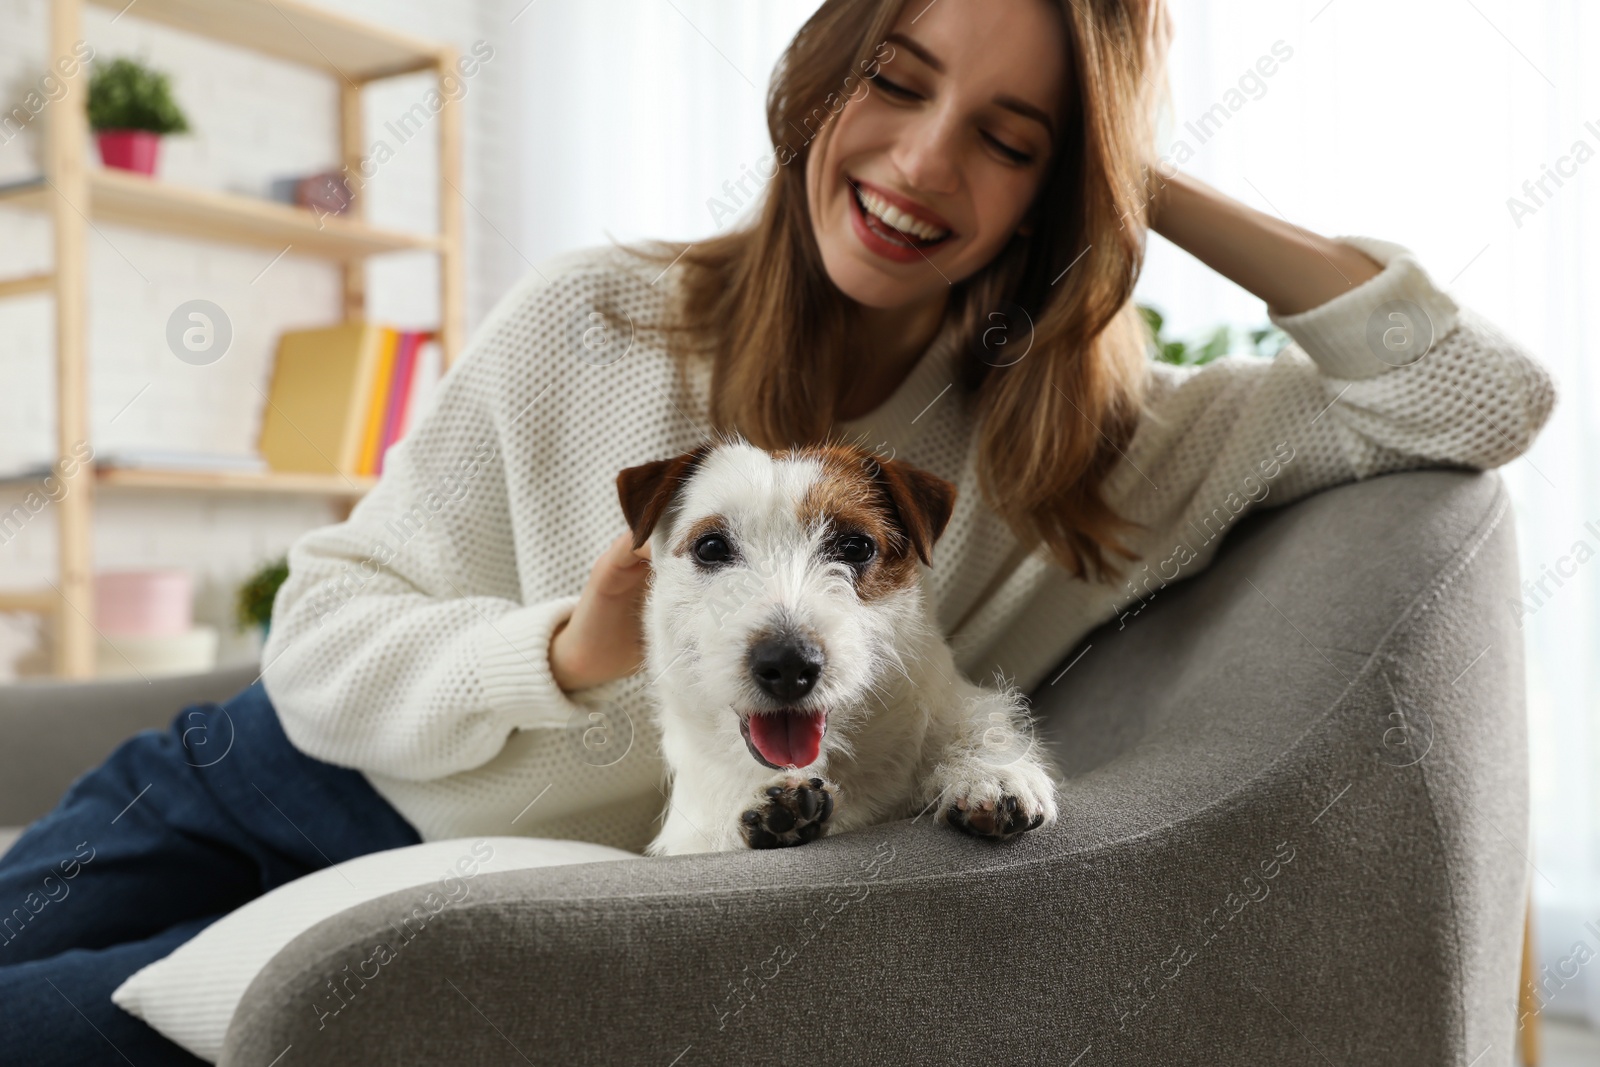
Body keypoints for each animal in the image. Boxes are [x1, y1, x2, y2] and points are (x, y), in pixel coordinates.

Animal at [614, 435, 1062, 857]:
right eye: (710, 547)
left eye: (855, 547)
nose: (789, 665)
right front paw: (769, 811)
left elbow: (978, 728)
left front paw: (990, 773)